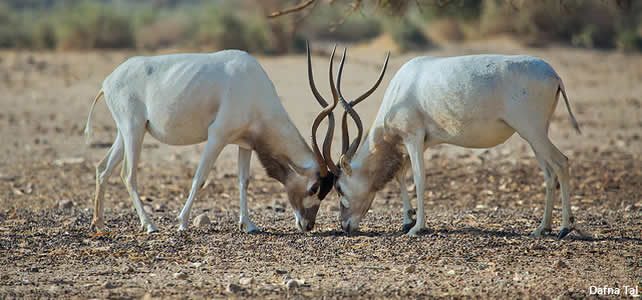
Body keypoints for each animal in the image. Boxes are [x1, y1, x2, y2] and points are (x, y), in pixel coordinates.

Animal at [84, 48, 336, 232]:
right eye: (314, 187)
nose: (308, 225)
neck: (252, 85)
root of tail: (108, 81)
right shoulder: (217, 136)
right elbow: (200, 178)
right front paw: (182, 222)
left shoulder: (244, 143)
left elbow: (244, 181)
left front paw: (248, 225)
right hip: (133, 130)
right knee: (128, 174)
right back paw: (149, 225)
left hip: (125, 133)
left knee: (102, 168)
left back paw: (99, 223)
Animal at [324, 52, 580, 238]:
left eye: (339, 188)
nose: (345, 227)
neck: (400, 88)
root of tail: (554, 76)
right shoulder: (423, 142)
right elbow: (400, 174)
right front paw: (407, 220)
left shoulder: (413, 137)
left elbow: (419, 178)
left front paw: (417, 227)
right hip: (536, 133)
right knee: (549, 173)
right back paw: (542, 228)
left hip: (532, 130)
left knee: (561, 162)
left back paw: (564, 228)